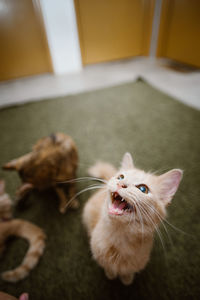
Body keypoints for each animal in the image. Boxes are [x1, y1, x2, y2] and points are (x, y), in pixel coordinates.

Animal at [83, 154, 183, 284]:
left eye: (143, 189)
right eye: (121, 177)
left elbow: (127, 273)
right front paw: (110, 275)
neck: (119, 236)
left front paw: (127, 280)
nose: (121, 184)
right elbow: (108, 268)